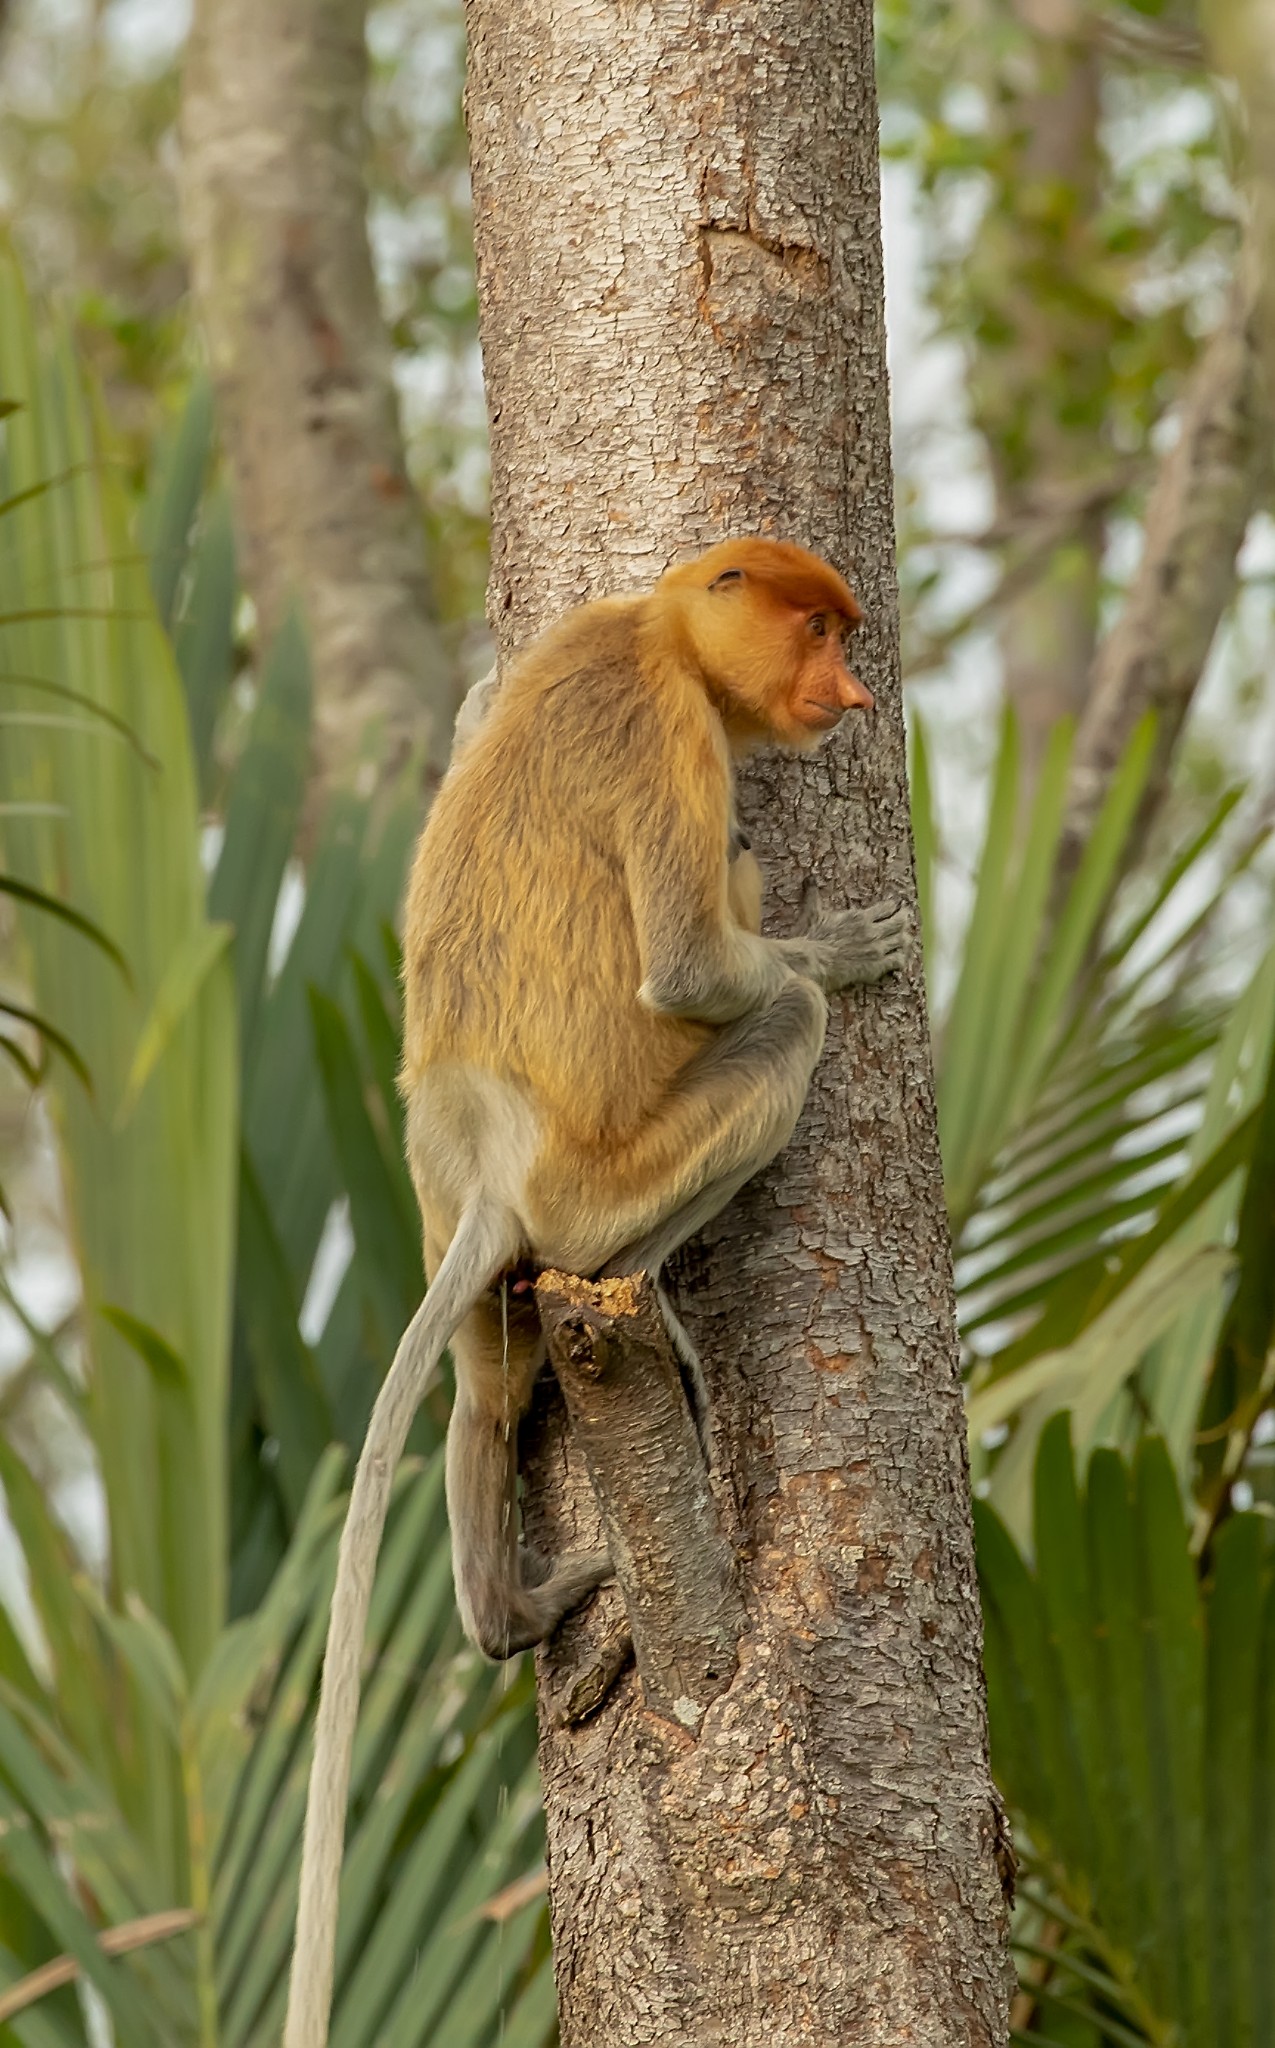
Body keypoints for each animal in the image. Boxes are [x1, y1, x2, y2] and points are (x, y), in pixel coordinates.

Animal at [286, 536, 912, 2039]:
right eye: (816, 629)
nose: (850, 692)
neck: (655, 628)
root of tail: (496, 1162)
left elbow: (473, 720)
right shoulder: (672, 728)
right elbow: (687, 969)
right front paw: (847, 948)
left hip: (466, 1245)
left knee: (484, 1397)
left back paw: (506, 1611)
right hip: (602, 1180)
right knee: (772, 1023)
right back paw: (652, 1304)